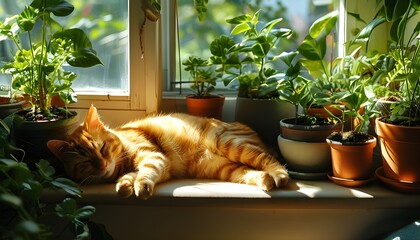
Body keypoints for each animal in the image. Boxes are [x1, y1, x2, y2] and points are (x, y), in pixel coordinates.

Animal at [46, 105, 288, 199]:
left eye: (102, 148)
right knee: (253, 172)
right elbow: (130, 177)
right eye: (85, 162)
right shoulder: (159, 168)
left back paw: (280, 176)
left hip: (230, 144)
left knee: (269, 160)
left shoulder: (154, 157)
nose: (103, 165)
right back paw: (266, 181)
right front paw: (124, 186)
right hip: (227, 168)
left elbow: (144, 173)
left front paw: (139, 187)